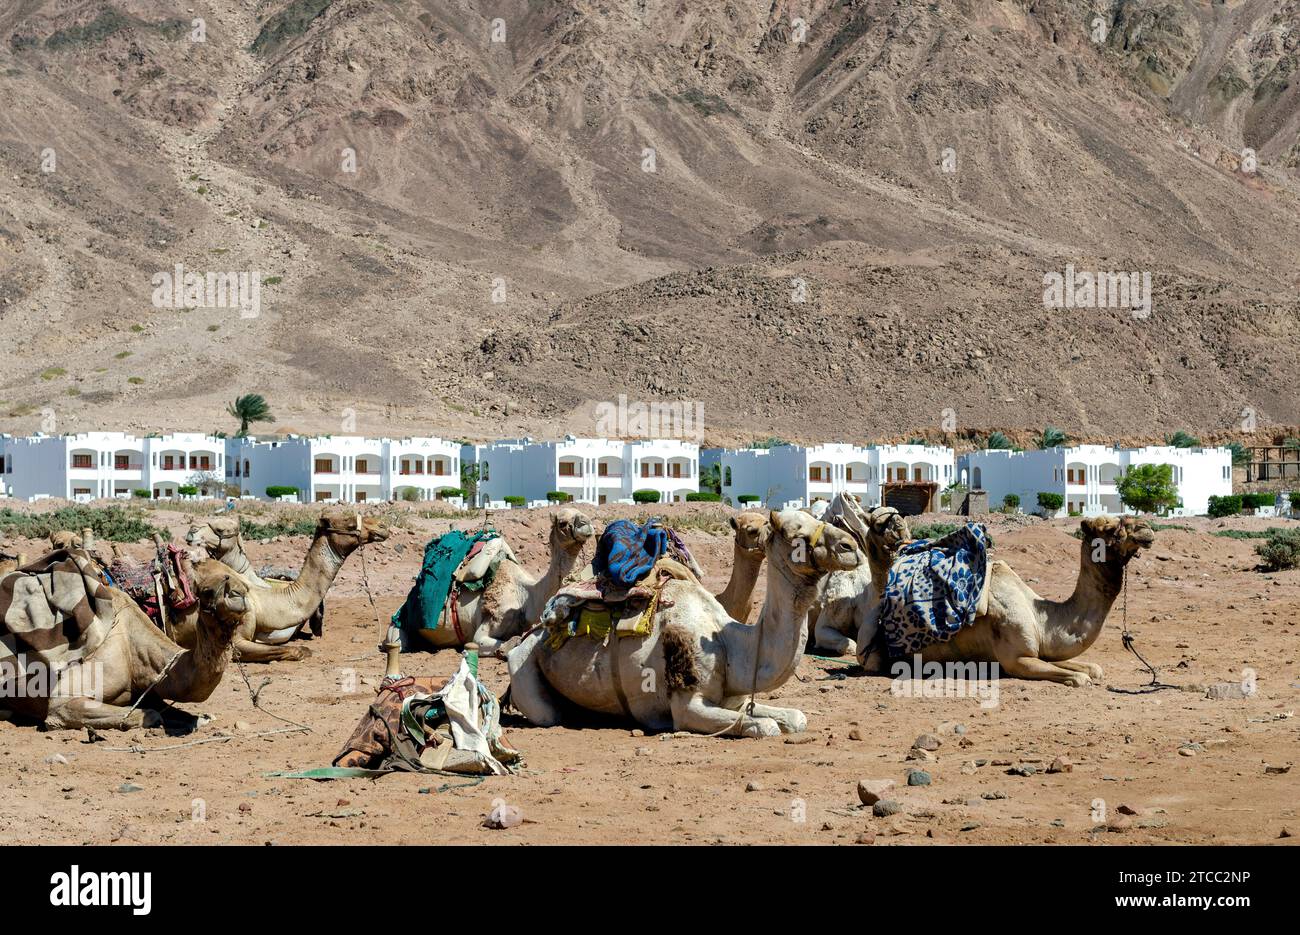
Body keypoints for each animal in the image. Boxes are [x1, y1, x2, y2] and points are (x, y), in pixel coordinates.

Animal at [0, 556, 250, 733]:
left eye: (240, 583)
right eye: (207, 591)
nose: (240, 594)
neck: (132, 649)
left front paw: (200, 719)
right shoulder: (60, 703)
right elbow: (150, 714)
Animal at [506, 512, 863, 738]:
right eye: (796, 534)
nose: (852, 547)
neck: (731, 645)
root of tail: (532, 635)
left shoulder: (736, 699)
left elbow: (795, 718)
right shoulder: (687, 706)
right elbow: (765, 726)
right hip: (525, 668)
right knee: (548, 713)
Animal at [857, 512, 1154, 686]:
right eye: (1109, 529)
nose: (1147, 528)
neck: (1042, 618)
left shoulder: (1040, 651)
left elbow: (1093, 669)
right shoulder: (1017, 659)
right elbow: (1081, 678)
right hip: (869, 645)